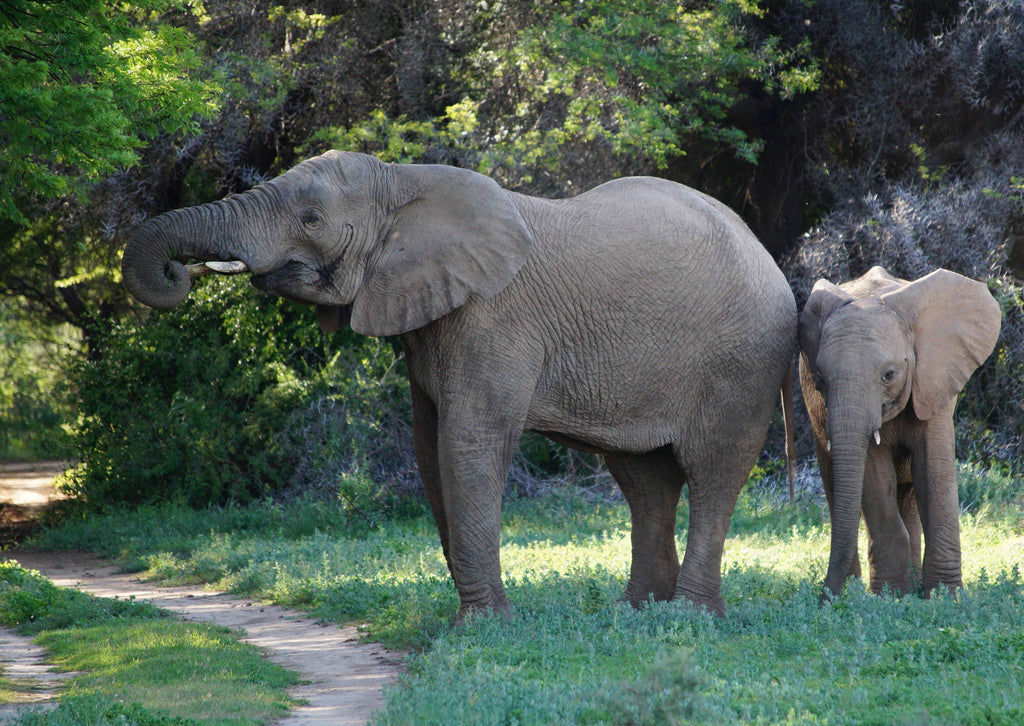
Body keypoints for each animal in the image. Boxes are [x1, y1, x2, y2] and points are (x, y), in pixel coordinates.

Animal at [122, 150, 797, 620]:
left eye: (311, 218)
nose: (181, 271)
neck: (403, 181)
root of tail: (768, 256)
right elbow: (429, 451)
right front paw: (477, 620)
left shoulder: (494, 319)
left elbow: (469, 445)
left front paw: (484, 628)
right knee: (644, 479)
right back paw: (636, 613)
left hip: (742, 361)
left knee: (712, 472)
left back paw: (690, 617)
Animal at [798, 266, 1001, 600]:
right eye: (820, 380)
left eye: (889, 374)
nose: (824, 599)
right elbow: (874, 477)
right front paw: (891, 597)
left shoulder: (933, 380)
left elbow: (933, 471)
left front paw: (944, 597)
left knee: (908, 496)